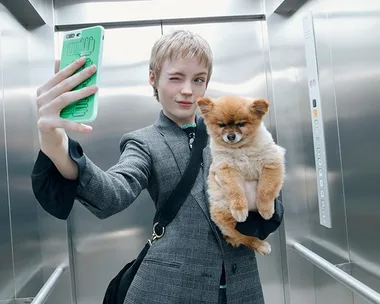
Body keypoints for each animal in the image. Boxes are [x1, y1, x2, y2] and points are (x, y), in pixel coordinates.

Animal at [196, 95, 284, 254]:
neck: (241, 149)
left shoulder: (271, 163)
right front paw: (239, 209)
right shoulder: (228, 170)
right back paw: (261, 245)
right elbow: (235, 192)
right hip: (225, 216)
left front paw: (266, 209)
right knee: (242, 237)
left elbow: (265, 190)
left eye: (241, 124)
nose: (231, 136)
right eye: (222, 125)